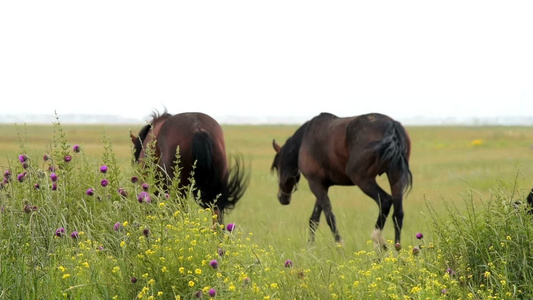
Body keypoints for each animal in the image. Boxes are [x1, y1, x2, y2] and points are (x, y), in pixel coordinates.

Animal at [270, 111, 412, 250]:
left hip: (363, 180)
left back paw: (378, 240)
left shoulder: (315, 184)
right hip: (396, 177)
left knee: (385, 201)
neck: (305, 140)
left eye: (276, 166)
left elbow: (329, 217)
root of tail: (392, 126)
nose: (282, 197)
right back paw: (397, 249)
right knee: (398, 214)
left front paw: (339, 244)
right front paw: (310, 248)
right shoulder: (323, 185)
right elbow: (314, 219)